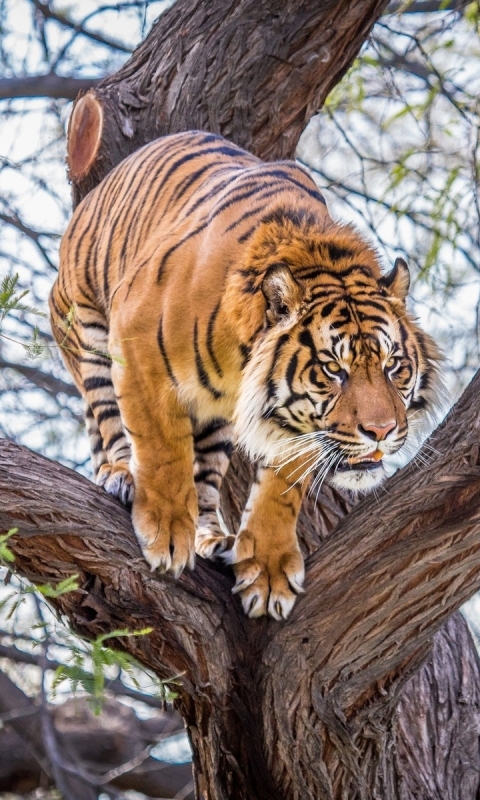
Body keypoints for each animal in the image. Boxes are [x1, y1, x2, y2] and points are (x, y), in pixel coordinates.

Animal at [49, 130, 442, 620]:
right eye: (334, 369)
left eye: (393, 367)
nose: (382, 431)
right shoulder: (136, 346)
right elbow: (162, 448)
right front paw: (166, 532)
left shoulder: (296, 425)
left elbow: (282, 488)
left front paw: (268, 572)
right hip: (85, 327)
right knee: (108, 420)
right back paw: (123, 475)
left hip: (217, 421)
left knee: (205, 479)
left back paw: (213, 537)